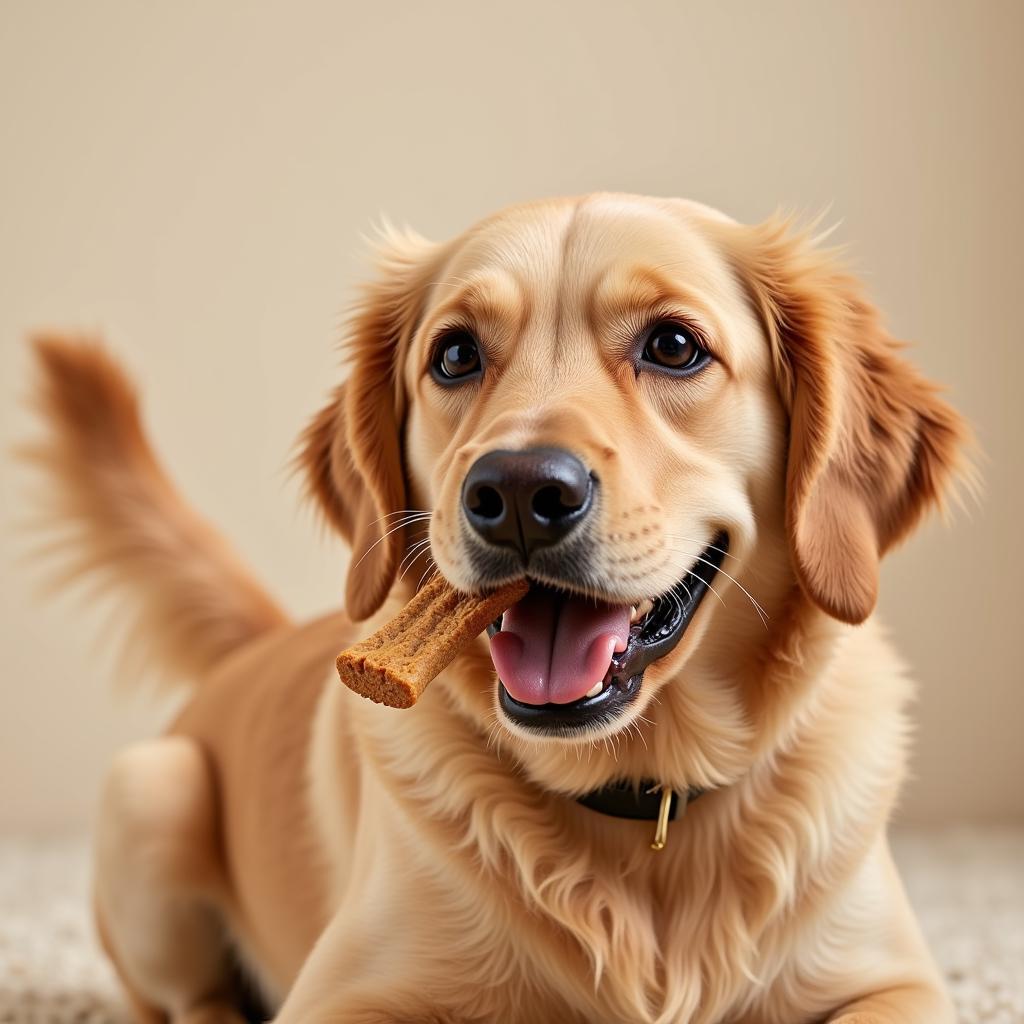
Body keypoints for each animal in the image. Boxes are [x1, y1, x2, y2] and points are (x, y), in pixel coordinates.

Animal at [25, 193, 966, 1024]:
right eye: (454, 356)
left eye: (674, 345)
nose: (517, 492)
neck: (640, 804)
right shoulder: (339, 996)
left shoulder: (897, 983)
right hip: (151, 792)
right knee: (186, 1003)